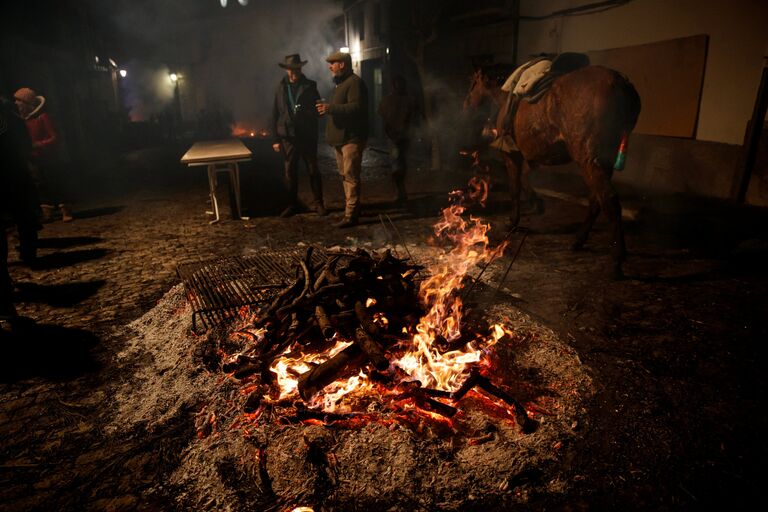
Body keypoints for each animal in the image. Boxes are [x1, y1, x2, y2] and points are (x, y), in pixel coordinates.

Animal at [462, 64, 640, 278]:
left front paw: (513, 221)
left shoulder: (511, 155)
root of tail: (620, 82)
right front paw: (536, 203)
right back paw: (579, 240)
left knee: (609, 200)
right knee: (597, 200)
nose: (465, 106)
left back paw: (616, 260)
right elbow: (525, 181)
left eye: (472, 85)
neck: (504, 97)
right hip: (602, 161)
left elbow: (515, 187)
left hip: (589, 161)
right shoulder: (527, 157)